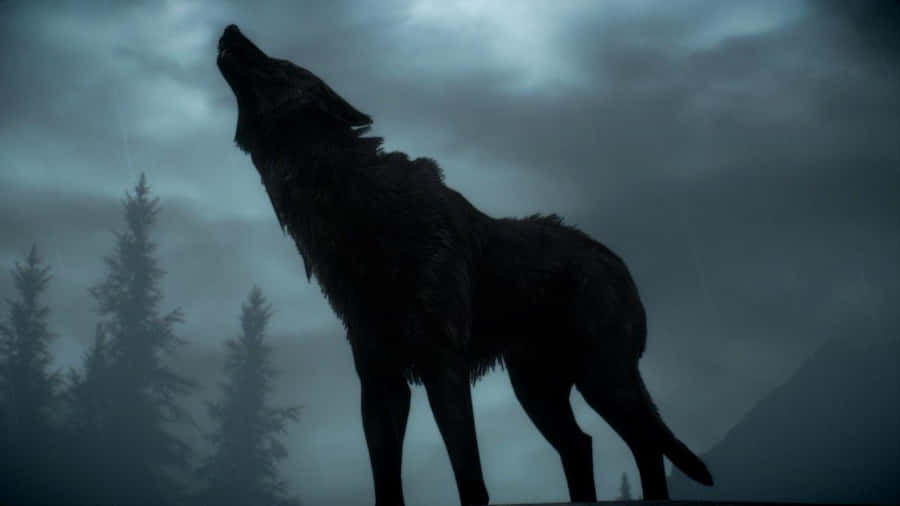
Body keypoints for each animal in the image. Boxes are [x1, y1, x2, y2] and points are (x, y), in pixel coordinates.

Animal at [216, 24, 713, 505]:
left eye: (278, 66)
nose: (230, 27)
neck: (357, 217)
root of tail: (618, 263)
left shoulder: (443, 367)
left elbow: (471, 481)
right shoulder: (380, 382)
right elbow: (386, 487)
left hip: (602, 380)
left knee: (646, 446)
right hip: (537, 392)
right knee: (581, 445)